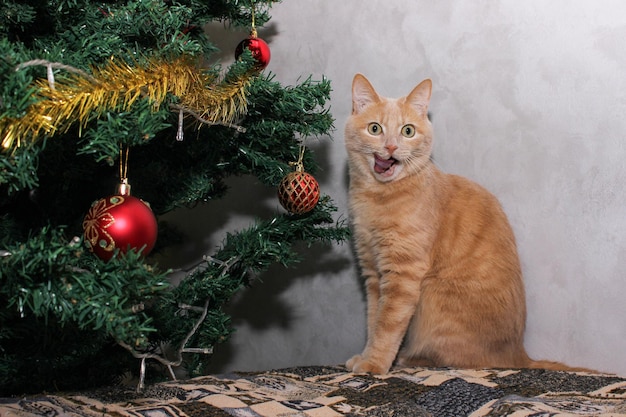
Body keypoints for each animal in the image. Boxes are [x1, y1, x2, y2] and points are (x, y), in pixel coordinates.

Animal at [342, 72, 580, 374]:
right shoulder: (373, 271)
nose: (391, 147)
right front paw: (365, 355)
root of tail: (519, 354)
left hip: (433, 297)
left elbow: (387, 325)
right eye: (375, 129)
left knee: (463, 360)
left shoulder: (403, 274)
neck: (377, 197)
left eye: (407, 131)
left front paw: (374, 363)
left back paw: (410, 358)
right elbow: (373, 320)